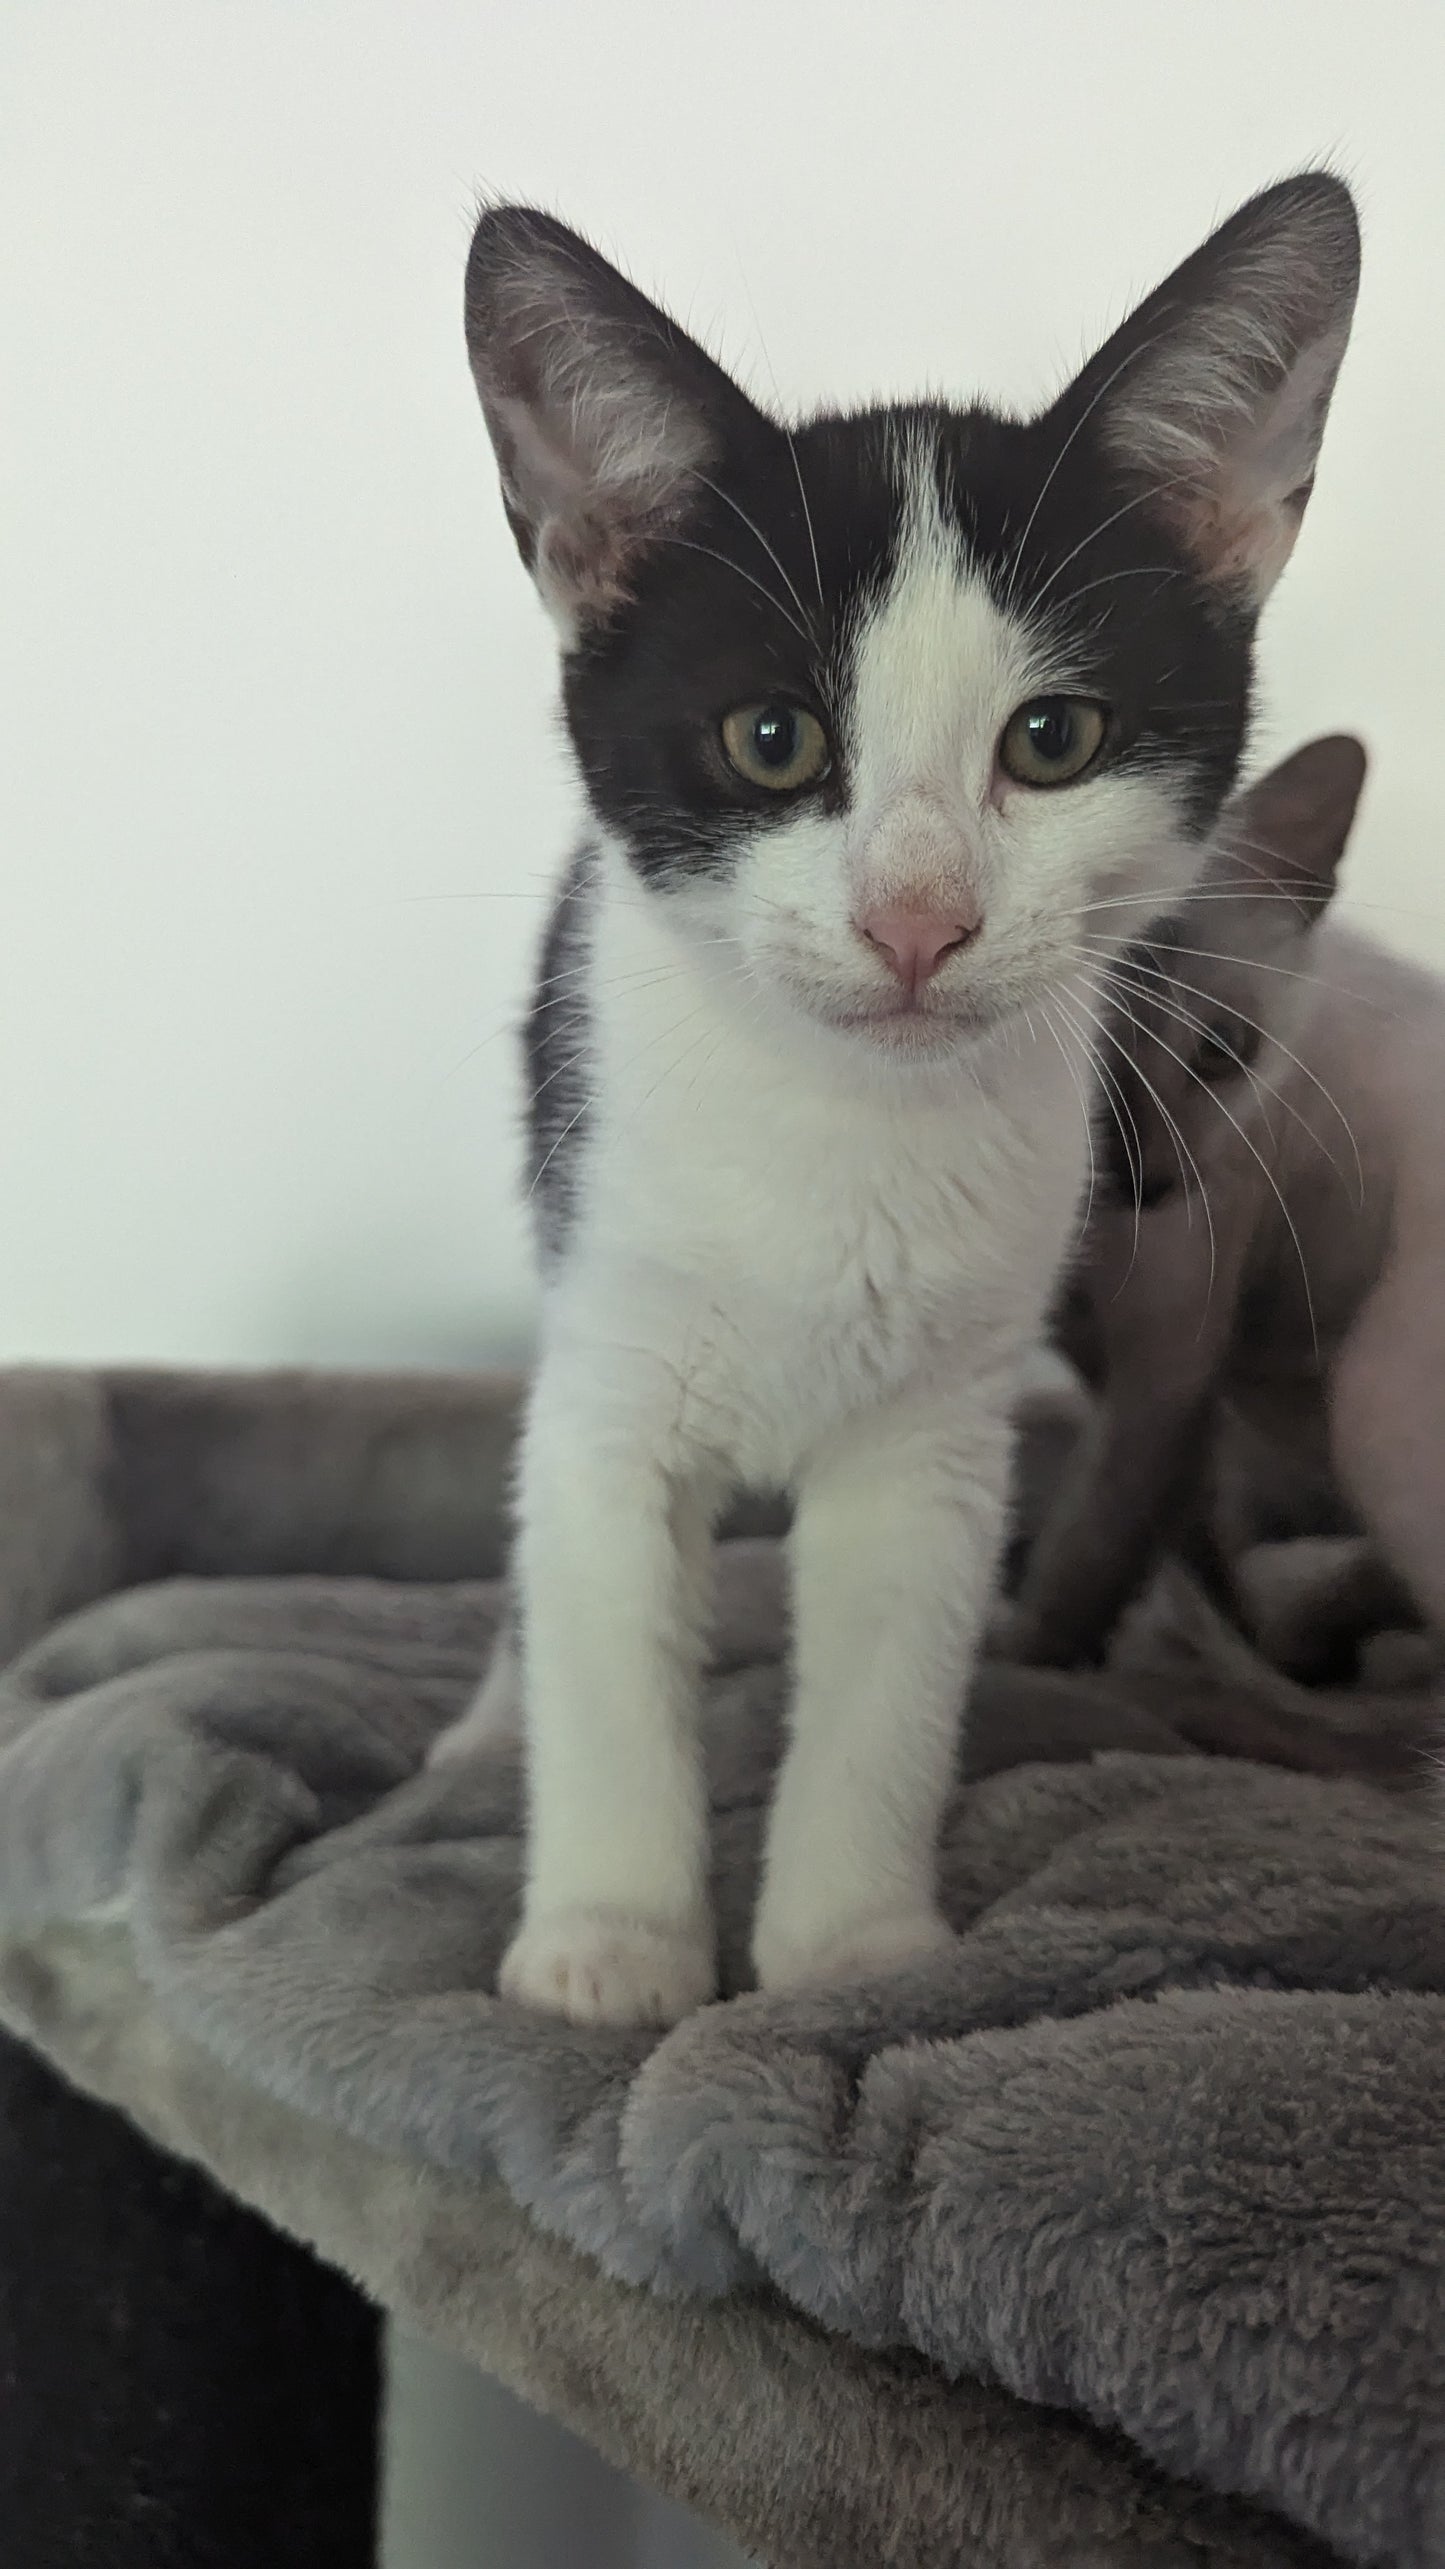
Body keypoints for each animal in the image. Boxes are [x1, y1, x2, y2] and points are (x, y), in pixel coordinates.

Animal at [431, 181, 1357, 2024]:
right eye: (770, 738)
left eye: (1055, 738)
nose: (916, 919)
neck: (841, 1117)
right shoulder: (611, 1356)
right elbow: (599, 1624)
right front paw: (613, 1941)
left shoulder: (941, 1431)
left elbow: (885, 1679)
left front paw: (846, 1953)